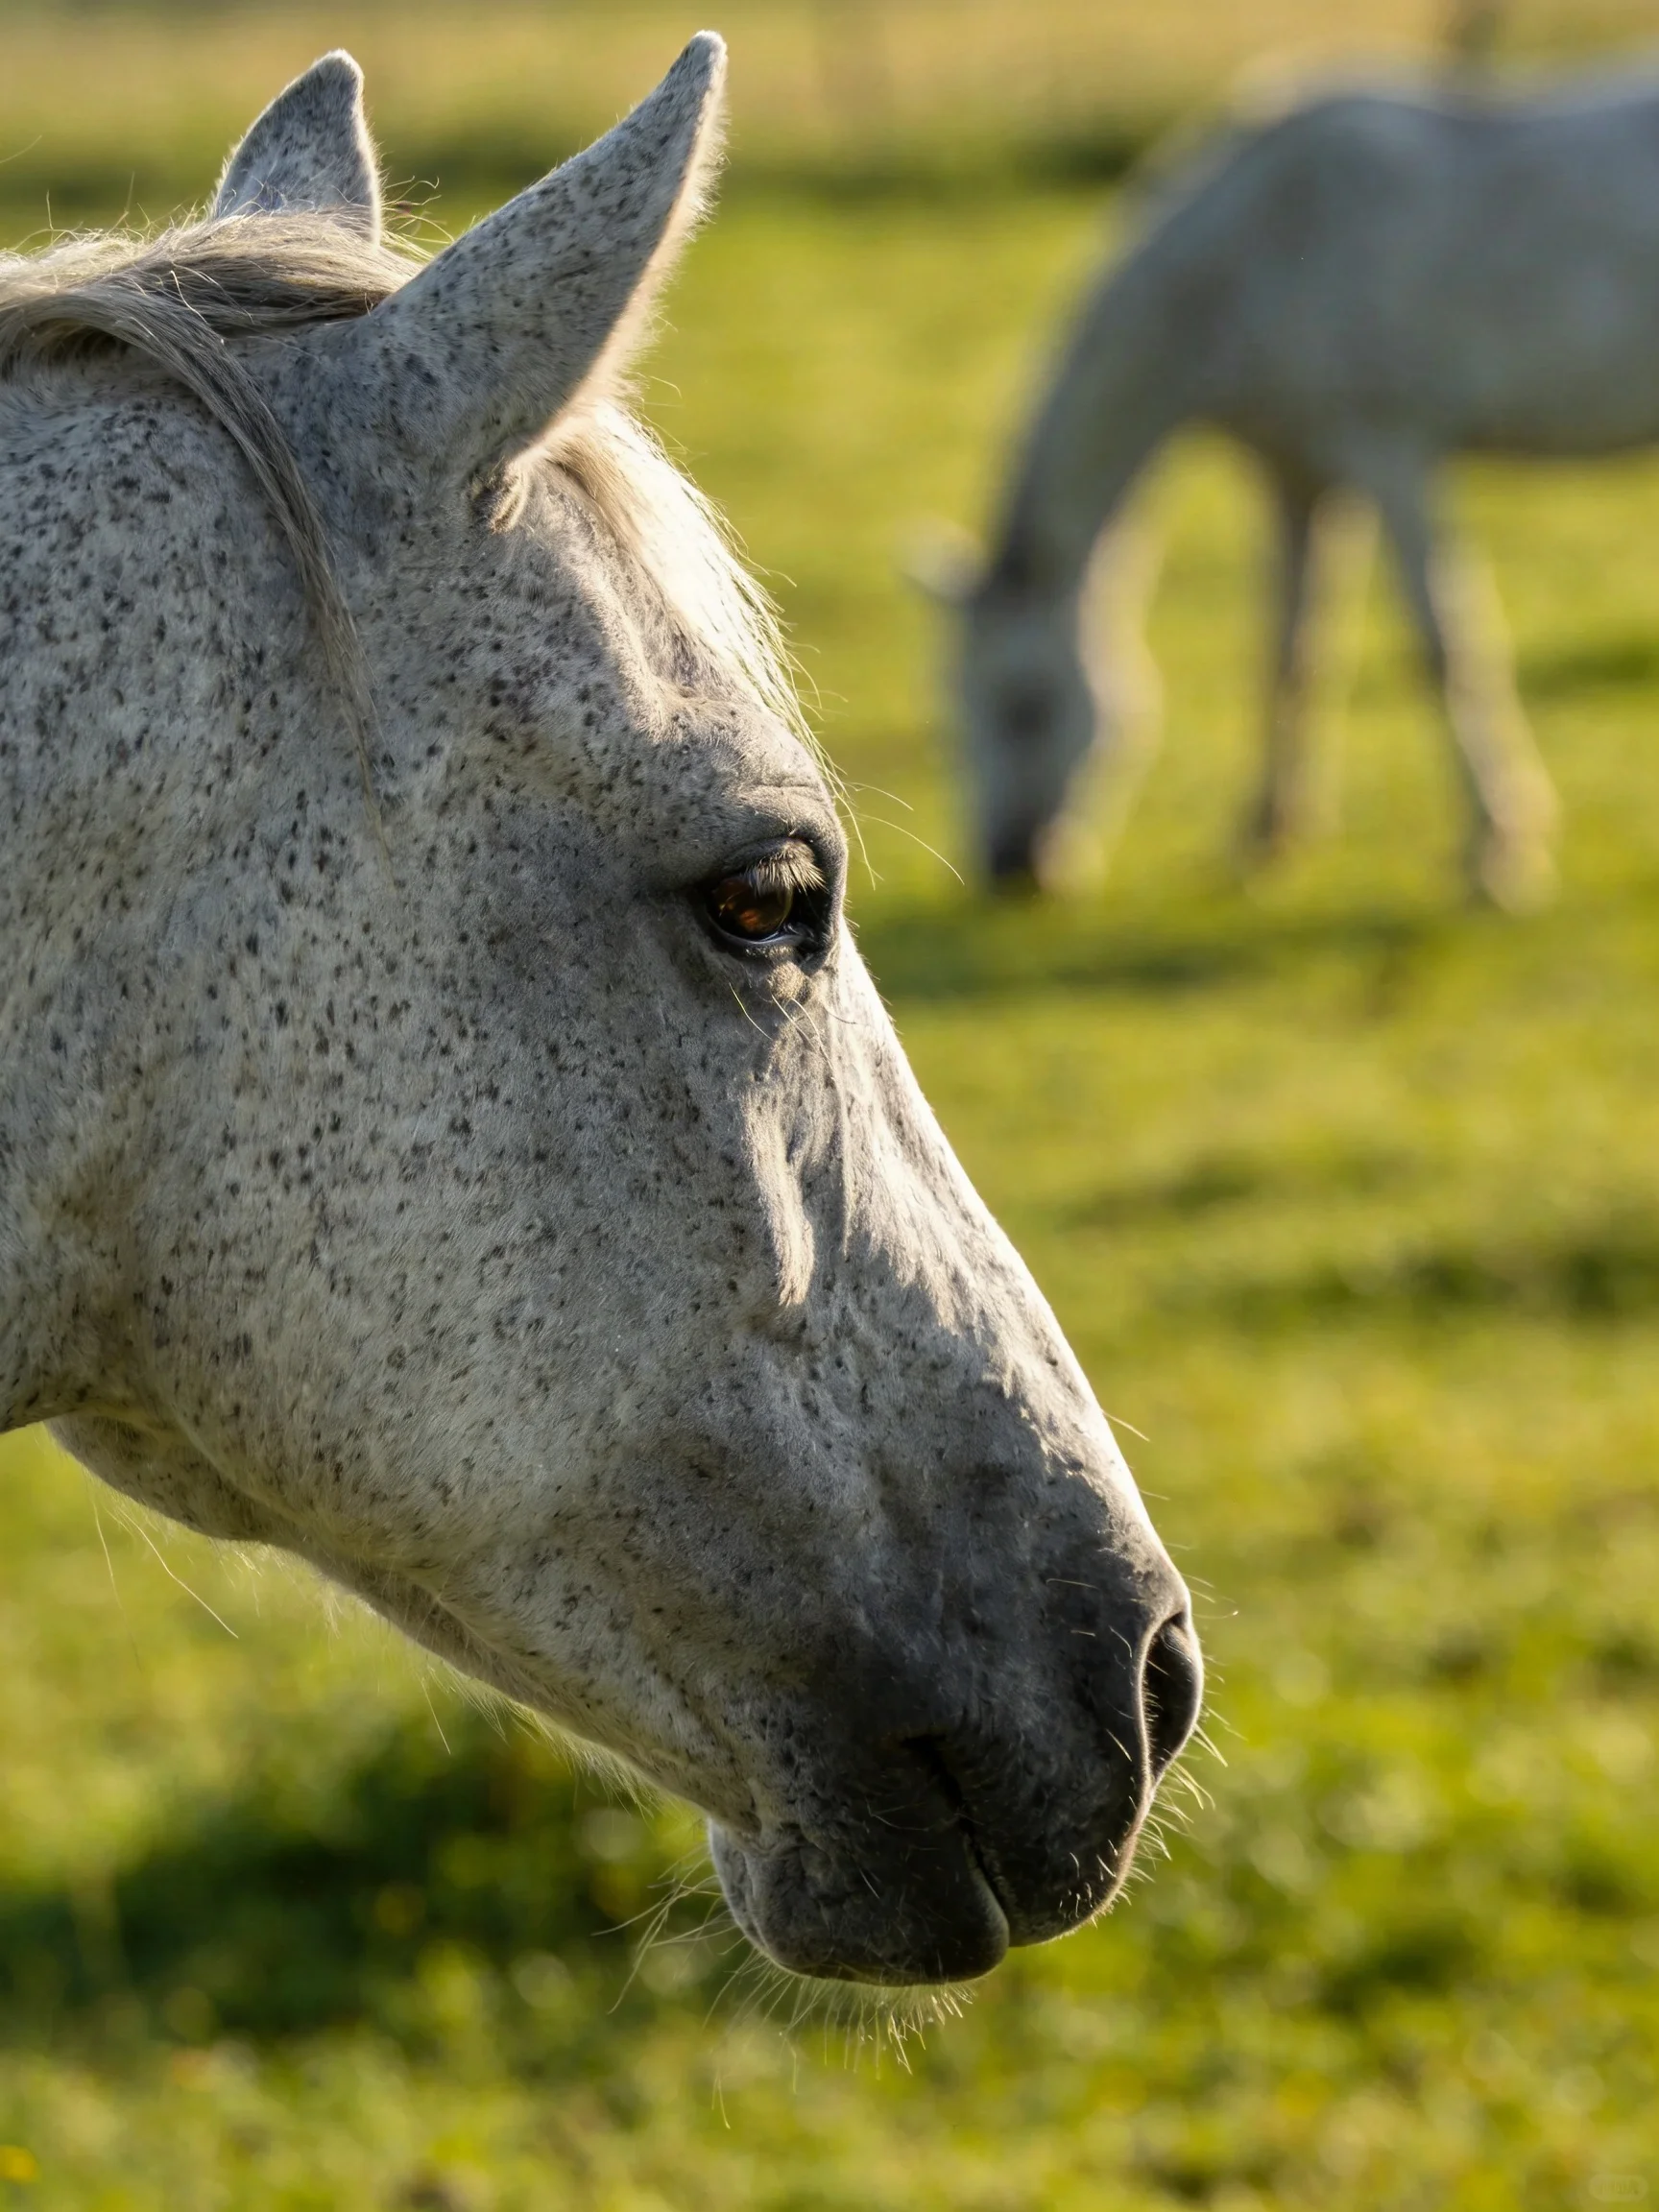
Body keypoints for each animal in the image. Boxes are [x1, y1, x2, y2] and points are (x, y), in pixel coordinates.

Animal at [943, 69, 1659, 907]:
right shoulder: (1295, 477)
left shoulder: (1392, 450)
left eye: (1026, 705)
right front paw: (1269, 834)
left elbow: (1444, 646)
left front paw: (1497, 852)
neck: (1259, 255)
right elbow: (1290, 651)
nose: (1009, 868)